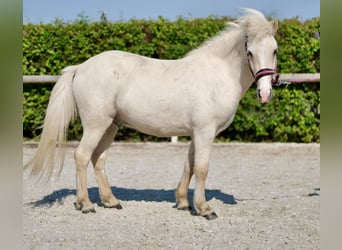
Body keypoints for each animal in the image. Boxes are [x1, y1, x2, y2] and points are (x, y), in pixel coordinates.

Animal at [26, 7, 278, 220]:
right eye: (250, 52)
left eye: (275, 50)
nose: (265, 94)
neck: (217, 74)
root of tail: (80, 68)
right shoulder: (205, 132)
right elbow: (201, 168)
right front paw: (204, 208)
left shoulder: (196, 133)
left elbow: (189, 165)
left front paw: (183, 202)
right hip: (96, 125)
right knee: (81, 156)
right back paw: (85, 204)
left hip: (110, 126)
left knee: (98, 159)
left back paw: (110, 201)